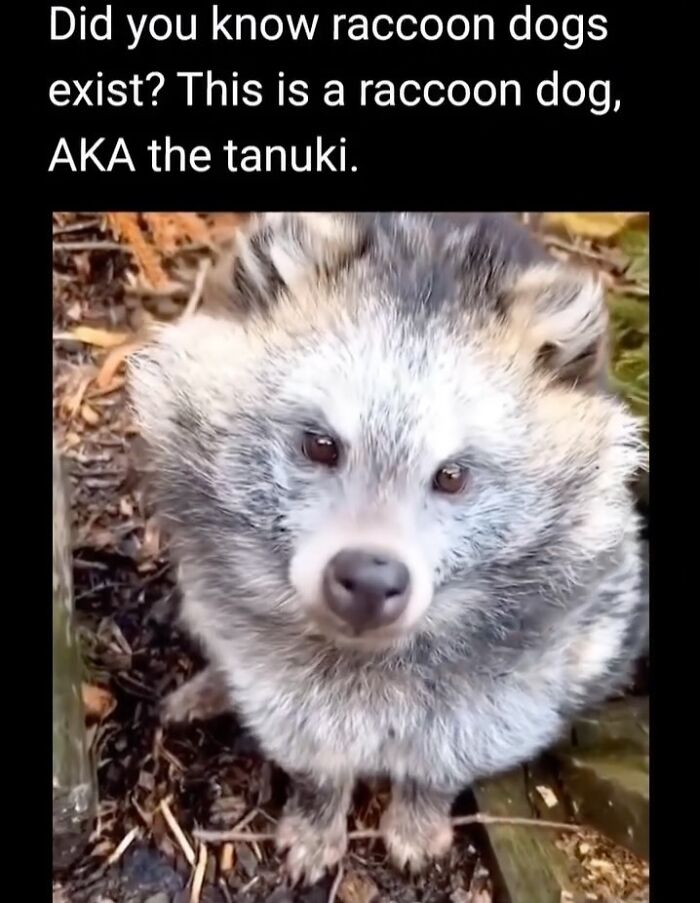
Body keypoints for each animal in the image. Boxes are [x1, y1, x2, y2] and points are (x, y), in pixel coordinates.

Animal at [129, 213, 648, 884]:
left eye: (452, 476)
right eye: (320, 445)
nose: (371, 579)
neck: (366, 656)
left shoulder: (528, 657)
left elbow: (460, 742)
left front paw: (419, 815)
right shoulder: (265, 651)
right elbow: (301, 732)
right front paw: (318, 813)